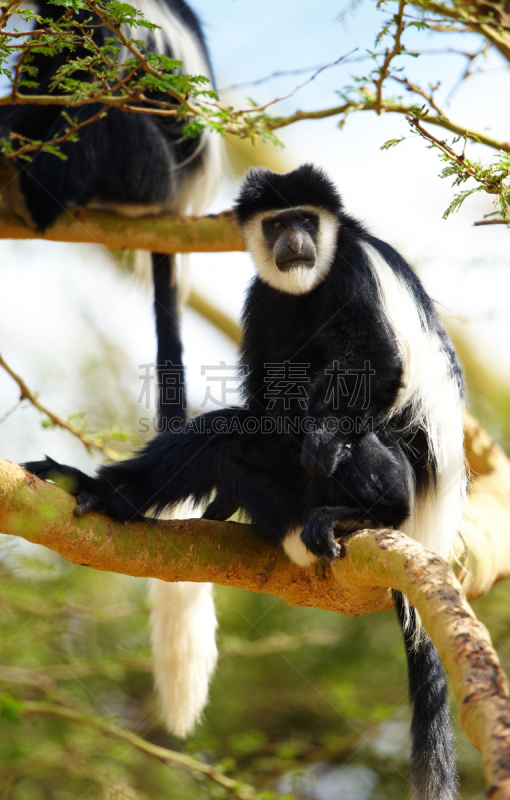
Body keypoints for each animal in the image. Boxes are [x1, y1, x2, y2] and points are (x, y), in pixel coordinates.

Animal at [26, 164, 466, 800]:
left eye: (305, 219)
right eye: (277, 224)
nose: (296, 240)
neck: (308, 281)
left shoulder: (353, 270)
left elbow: (378, 366)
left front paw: (321, 438)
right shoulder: (262, 297)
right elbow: (260, 393)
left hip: (393, 470)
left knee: (361, 429)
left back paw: (362, 510)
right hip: (279, 495)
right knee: (220, 440)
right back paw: (99, 491)